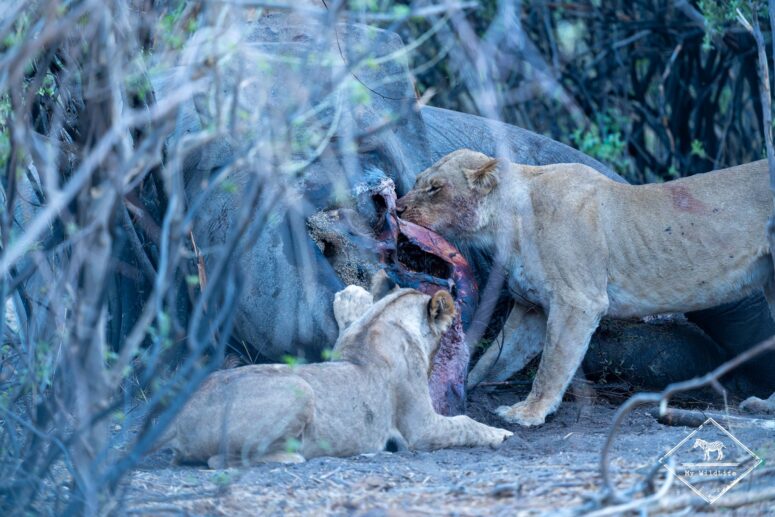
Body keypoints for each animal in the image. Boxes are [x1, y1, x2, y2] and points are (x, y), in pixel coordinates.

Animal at [158, 274, 512, 467]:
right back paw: (294, 457)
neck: (385, 320)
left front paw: (351, 296)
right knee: (218, 460)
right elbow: (465, 423)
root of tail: (180, 415)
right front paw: (501, 433)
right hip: (300, 390)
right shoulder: (420, 428)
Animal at [396, 149, 773, 426]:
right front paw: (458, 386)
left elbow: (552, 364)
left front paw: (529, 413)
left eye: (435, 188)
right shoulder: (532, 308)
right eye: (416, 181)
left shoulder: (578, 301)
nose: (398, 207)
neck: (509, 223)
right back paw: (765, 404)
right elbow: (494, 359)